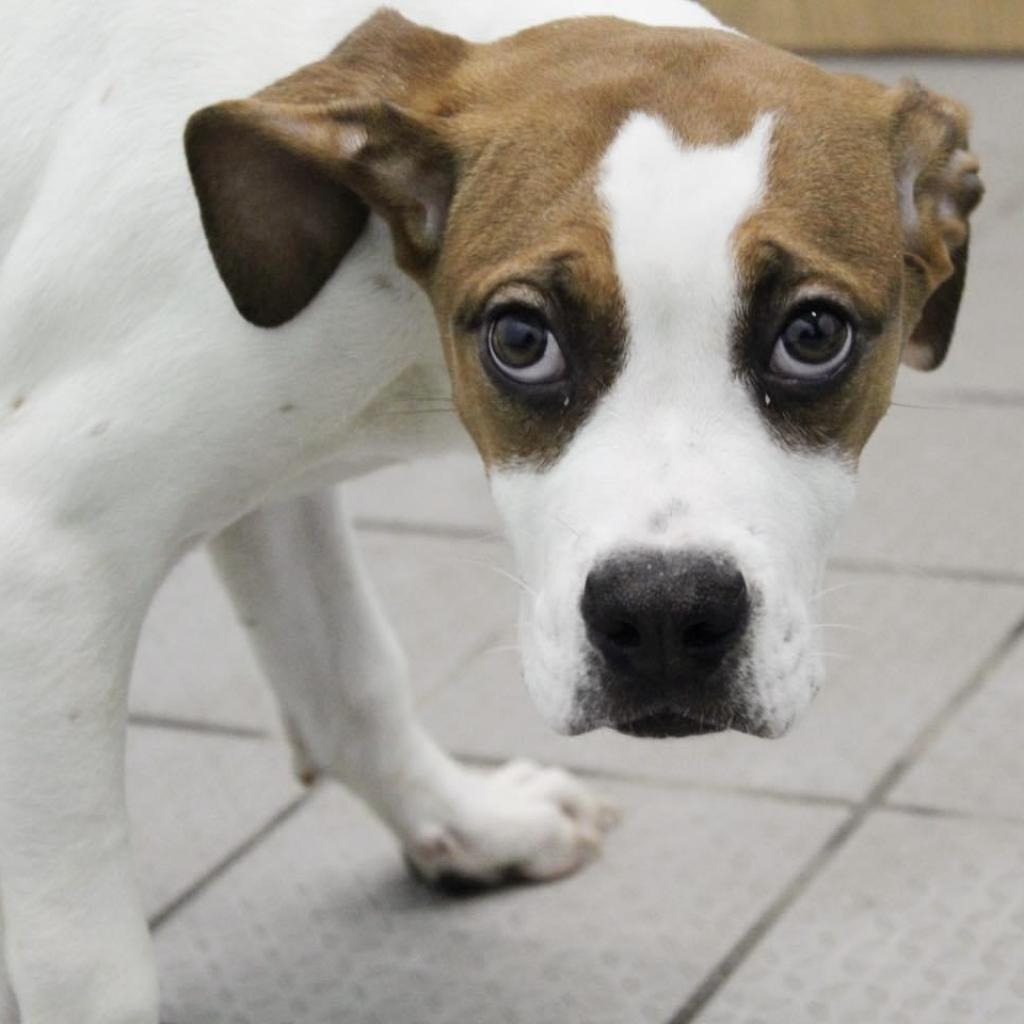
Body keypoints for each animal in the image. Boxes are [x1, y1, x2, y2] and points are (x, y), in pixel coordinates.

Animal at [0, 0, 983, 1019]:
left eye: (814, 334)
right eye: (520, 338)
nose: (664, 617)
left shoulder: (265, 482)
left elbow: (348, 676)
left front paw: (468, 824)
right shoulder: (50, 550)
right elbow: (88, 958)